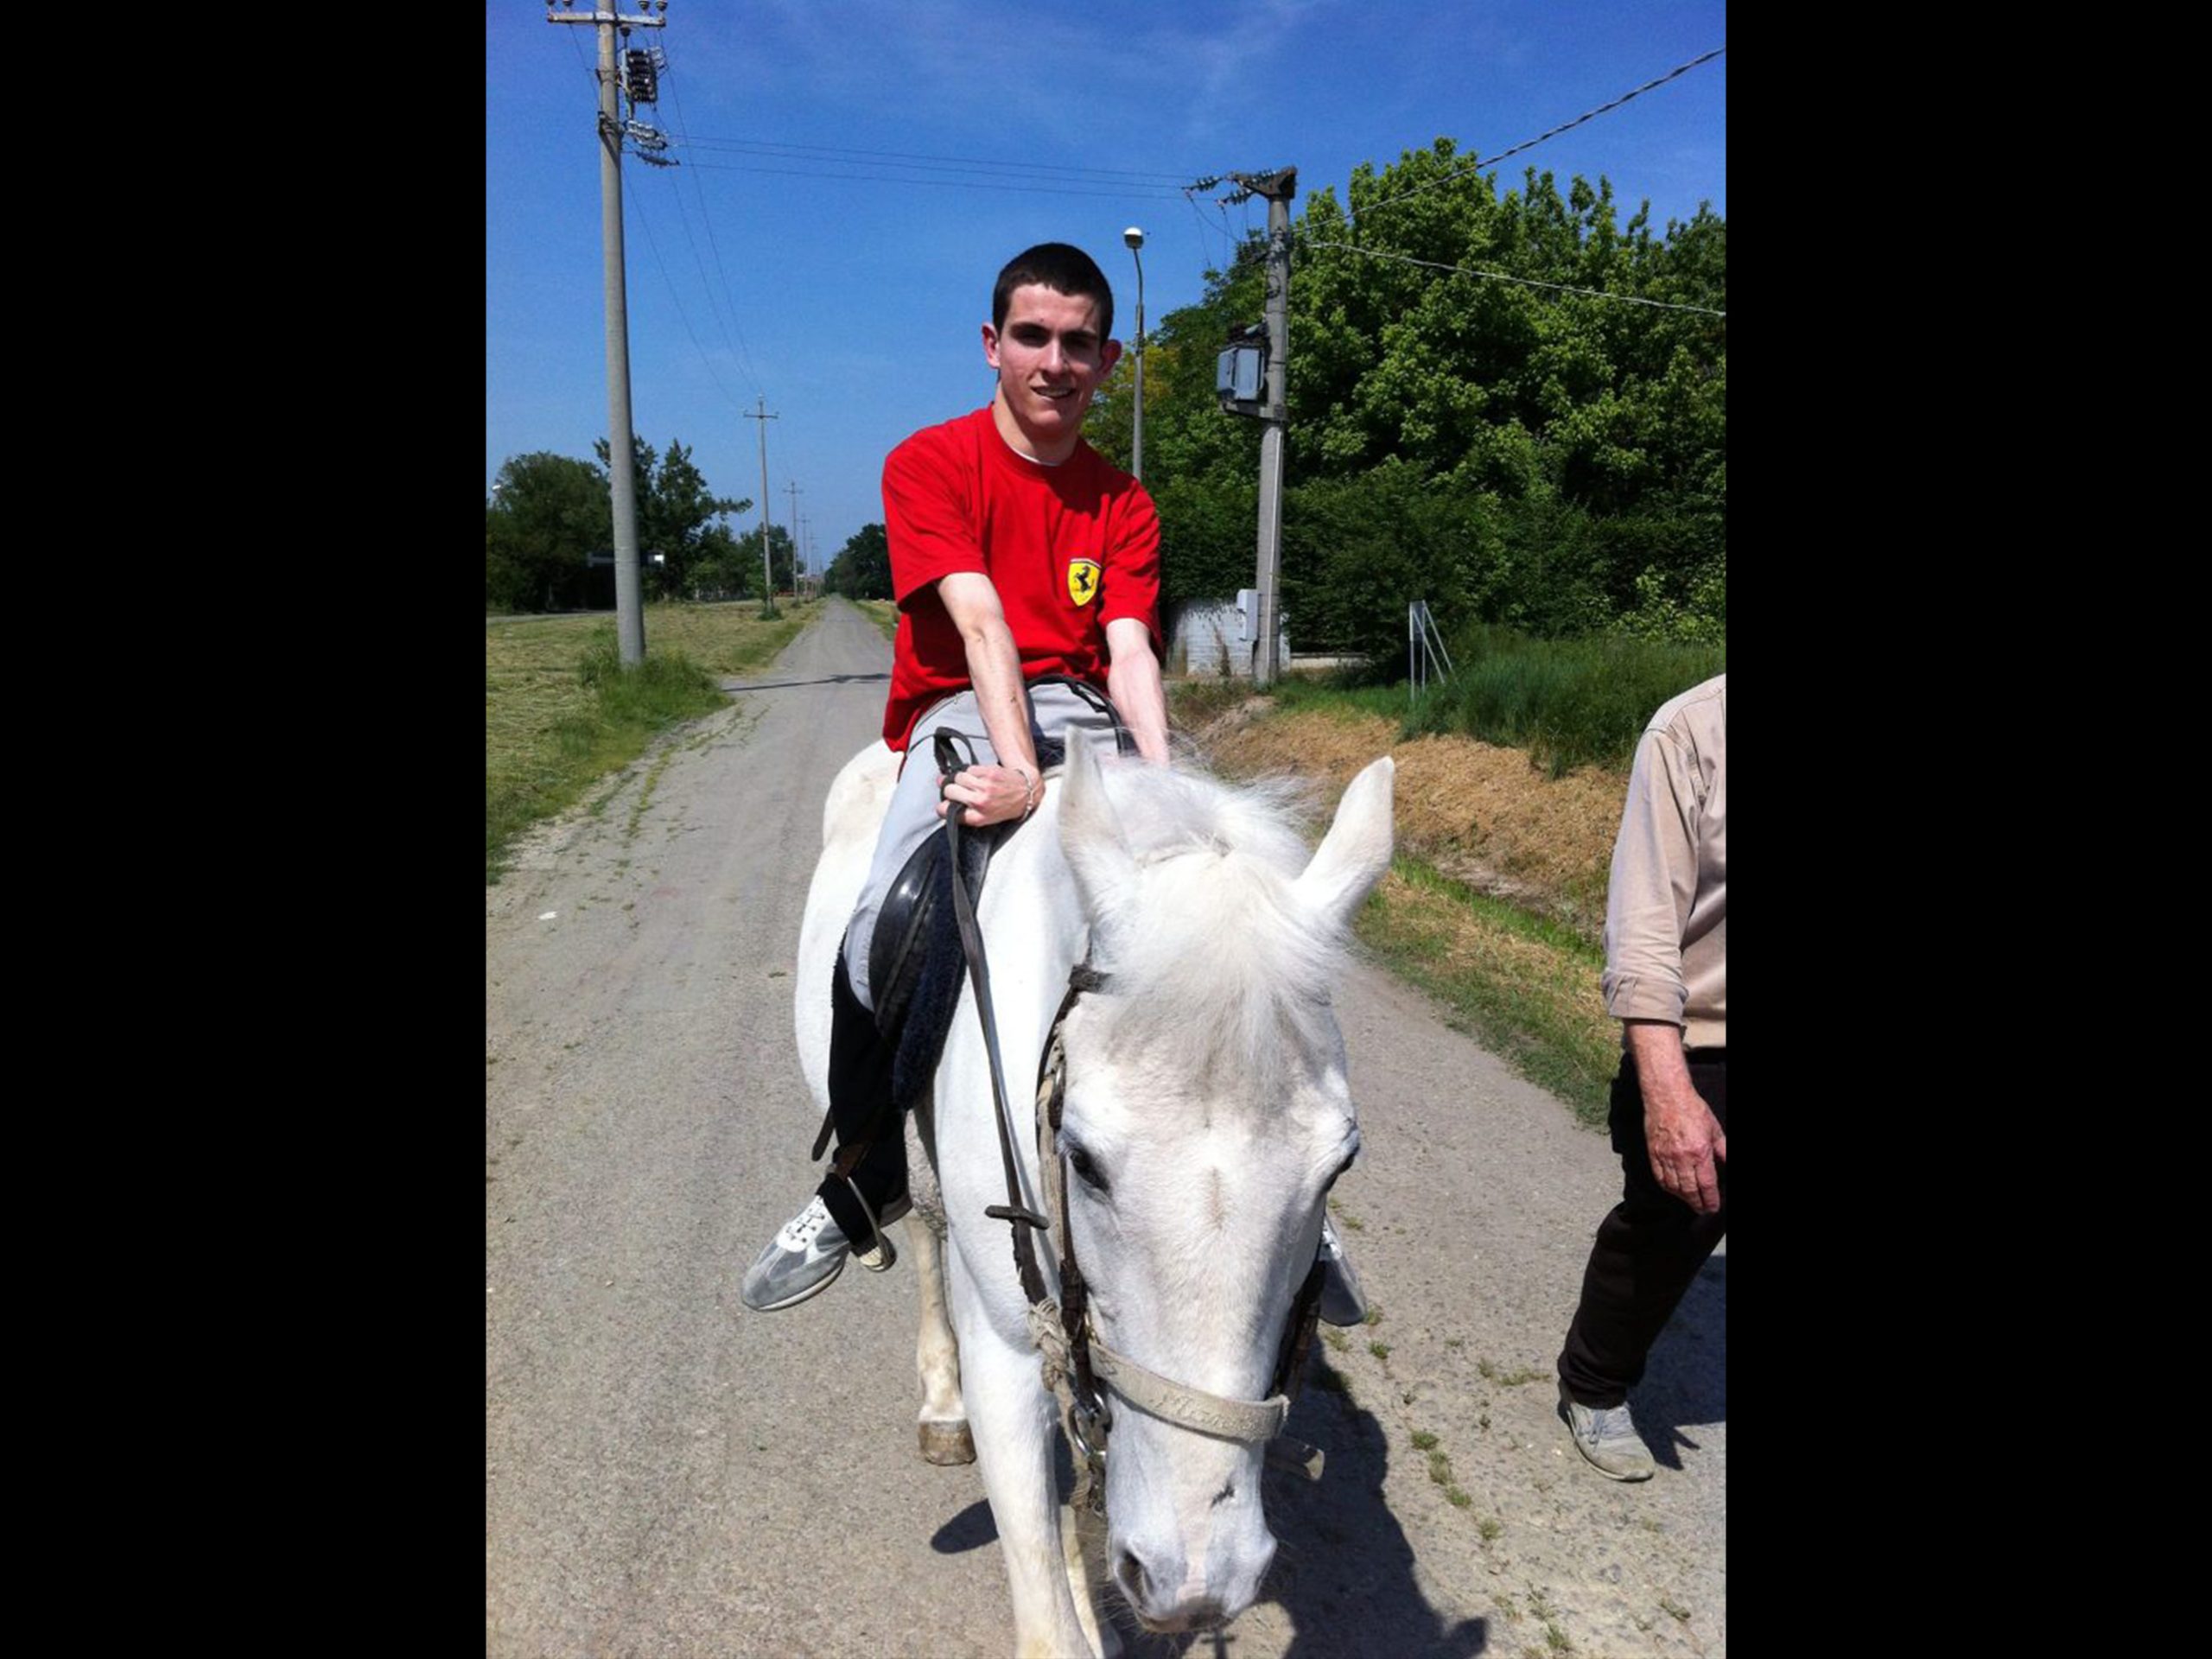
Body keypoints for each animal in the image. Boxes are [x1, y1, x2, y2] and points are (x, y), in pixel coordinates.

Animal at [787, 734, 1389, 1654]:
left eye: (1339, 1167)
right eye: (1085, 1159)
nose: (1196, 1581)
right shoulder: (1003, 1345)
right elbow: (1046, 1609)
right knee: (923, 1230)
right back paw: (941, 1404)